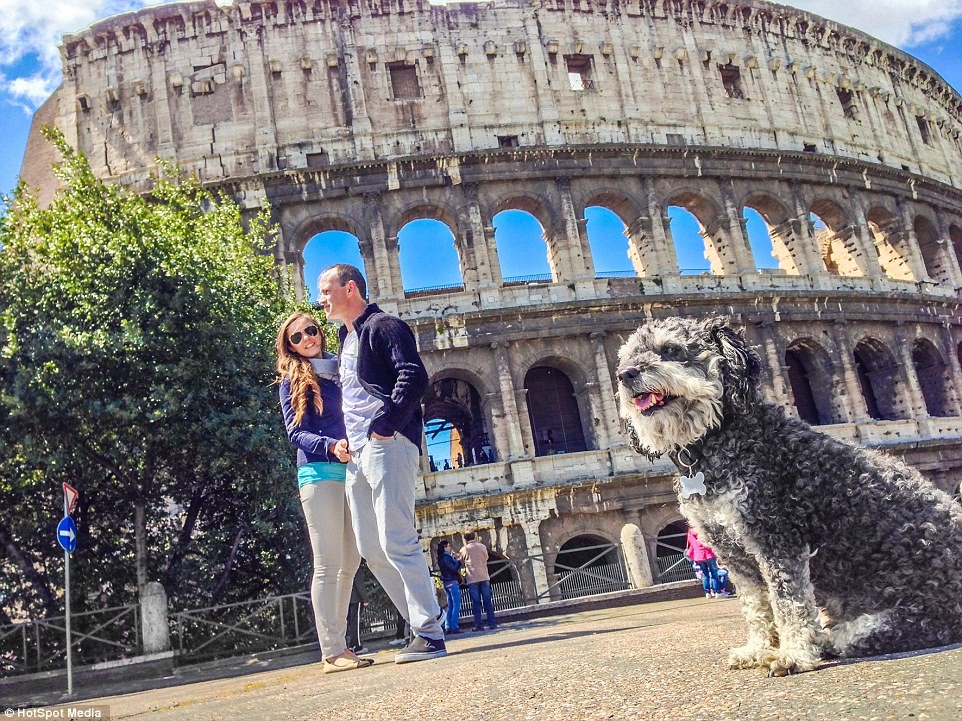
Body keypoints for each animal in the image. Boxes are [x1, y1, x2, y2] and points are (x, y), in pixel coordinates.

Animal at [616, 316, 960, 676]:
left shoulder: (777, 538)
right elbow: (756, 606)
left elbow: (789, 603)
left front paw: (793, 653)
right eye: (626, 358)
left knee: (873, 632)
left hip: (914, 610)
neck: (717, 444)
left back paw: (825, 641)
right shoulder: (733, 553)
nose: (626, 375)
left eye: (671, 349)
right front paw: (758, 649)